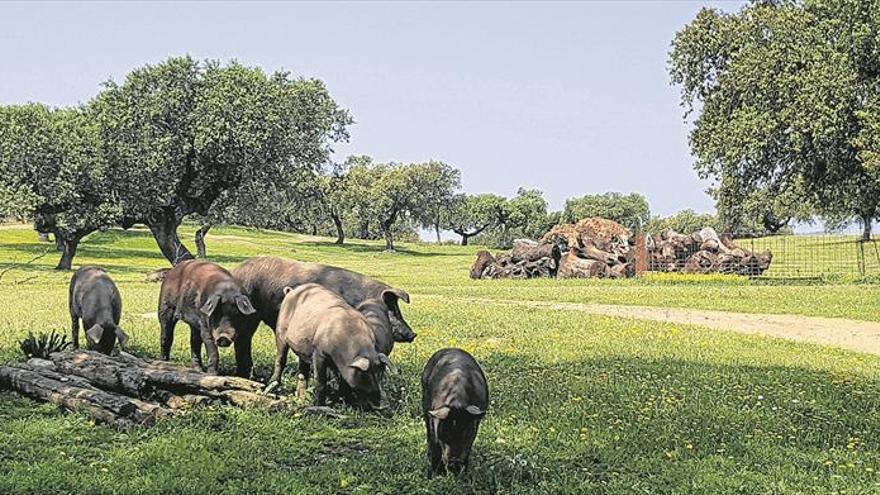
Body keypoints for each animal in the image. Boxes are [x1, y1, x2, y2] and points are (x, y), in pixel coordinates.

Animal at [422, 348, 488, 476]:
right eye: (444, 434)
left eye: (465, 433)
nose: (454, 465)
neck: (457, 402)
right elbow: (435, 442)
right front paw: (436, 474)